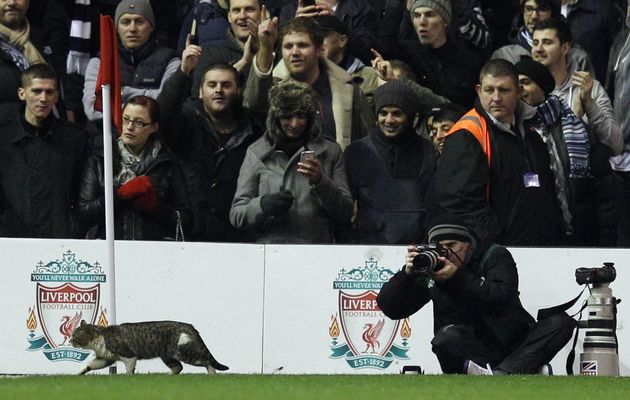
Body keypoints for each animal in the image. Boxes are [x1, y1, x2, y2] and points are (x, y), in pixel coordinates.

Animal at [70, 320, 228, 374]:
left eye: (74, 335)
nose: (70, 341)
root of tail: (189, 326)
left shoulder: (129, 355)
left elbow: (129, 370)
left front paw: (128, 377)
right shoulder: (105, 358)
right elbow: (90, 365)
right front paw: (80, 373)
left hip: (186, 353)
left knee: (207, 362)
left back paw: (212, 374)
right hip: (168, 356)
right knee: (178, 368)